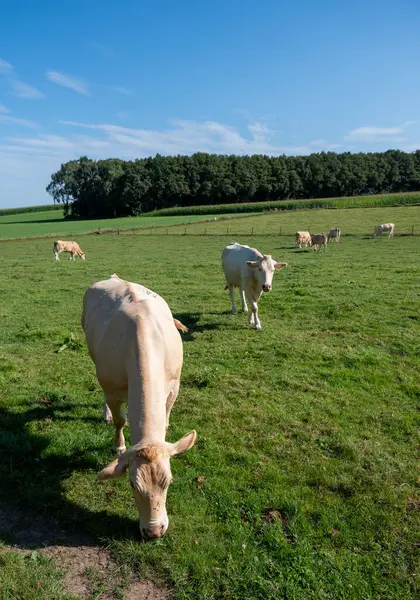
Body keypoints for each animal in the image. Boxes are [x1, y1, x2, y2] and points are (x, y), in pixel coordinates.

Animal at [81, 272, 196, 540]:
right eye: (133, 484)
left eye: (169, 481)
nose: (154, 531)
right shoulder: (112, 389)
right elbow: (120, 420)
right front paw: (119, 444)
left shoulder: (174, 387)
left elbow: (165, 419)